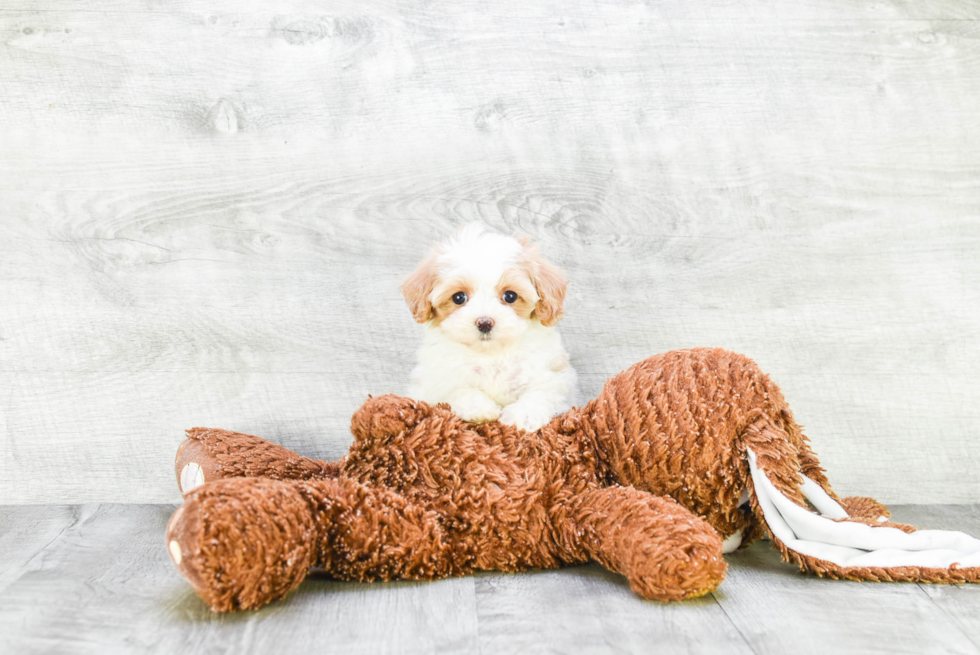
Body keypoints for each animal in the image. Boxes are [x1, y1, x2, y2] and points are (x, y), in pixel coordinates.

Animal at [402, 223, 580, 434]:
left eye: (510, 296)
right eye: (458, 297)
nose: (485, 322)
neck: (492, 354)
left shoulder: (555, 375)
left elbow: (542, 392)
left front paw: (522, 416)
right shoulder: (432, 381)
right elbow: (455, 388)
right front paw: (479, 408)